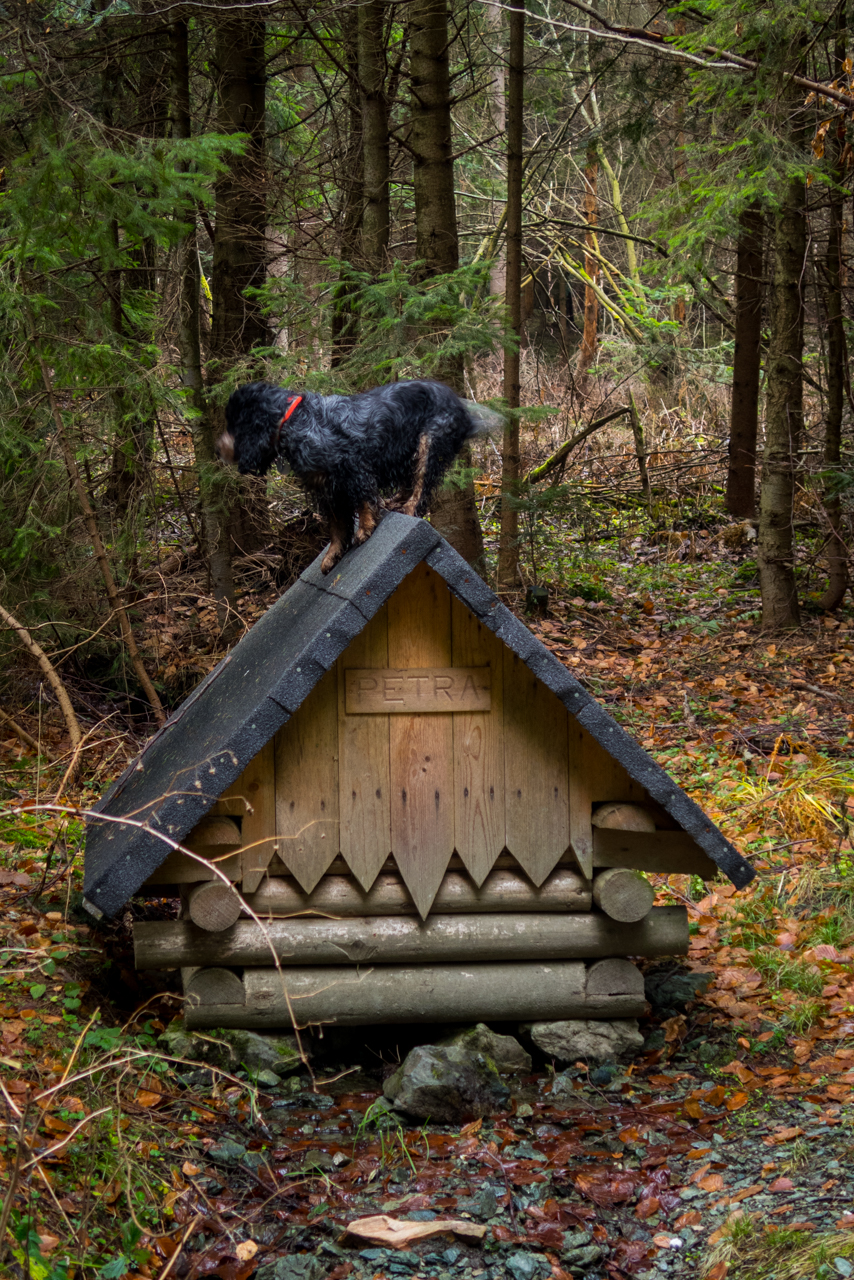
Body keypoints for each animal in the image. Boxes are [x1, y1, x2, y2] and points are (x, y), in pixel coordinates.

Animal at [220, 378, 496, 576]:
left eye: (234, 422)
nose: (217, 448)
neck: (295, 421)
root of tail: (462, 407)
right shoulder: (326, 489)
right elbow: (337, 526)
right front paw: (333, 555)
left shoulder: (351, 467)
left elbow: (363, 501)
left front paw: (365, 529)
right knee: (409, 482)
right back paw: (395, 501)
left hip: (429, 443)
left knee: (421, 487)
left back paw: (407, 508)